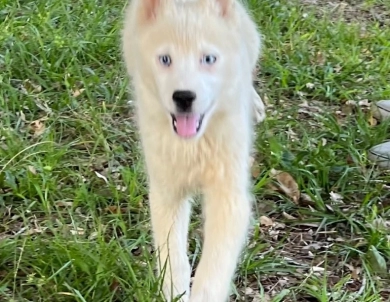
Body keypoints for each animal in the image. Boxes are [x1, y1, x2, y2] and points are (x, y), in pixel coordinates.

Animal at [122, 1, 266, 300]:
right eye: (165, 59)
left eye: (208, 59)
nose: (184, 97)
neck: (194, 146)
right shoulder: (166, 192)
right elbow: (172, 256)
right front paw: (175, 291)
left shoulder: (229, 198)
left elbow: (214, 266)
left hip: (252, 40)